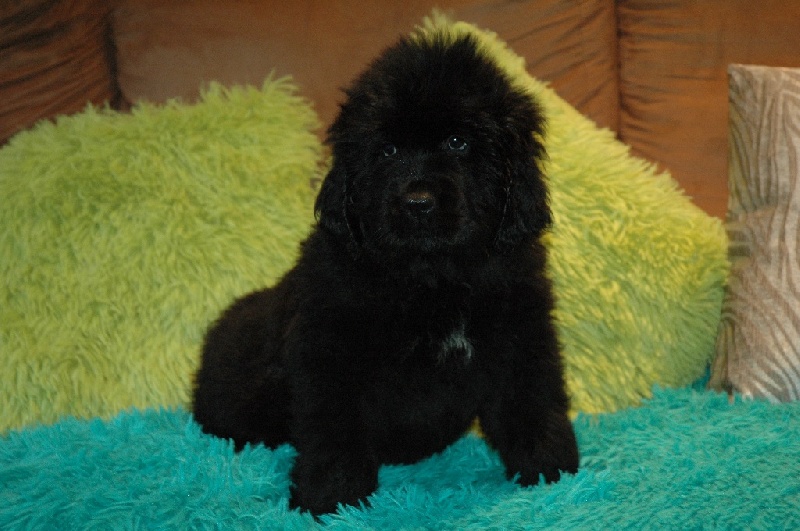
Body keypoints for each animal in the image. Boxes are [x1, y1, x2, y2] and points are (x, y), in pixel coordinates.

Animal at [192, 32, 579, 516]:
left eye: (458, 142)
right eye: (388, 151)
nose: (417, 202)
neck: (433, 278)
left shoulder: (521, 335)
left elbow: (533, 401)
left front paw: (551, 471)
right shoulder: (330, 351)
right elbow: (333, 428)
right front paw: (332, 499)